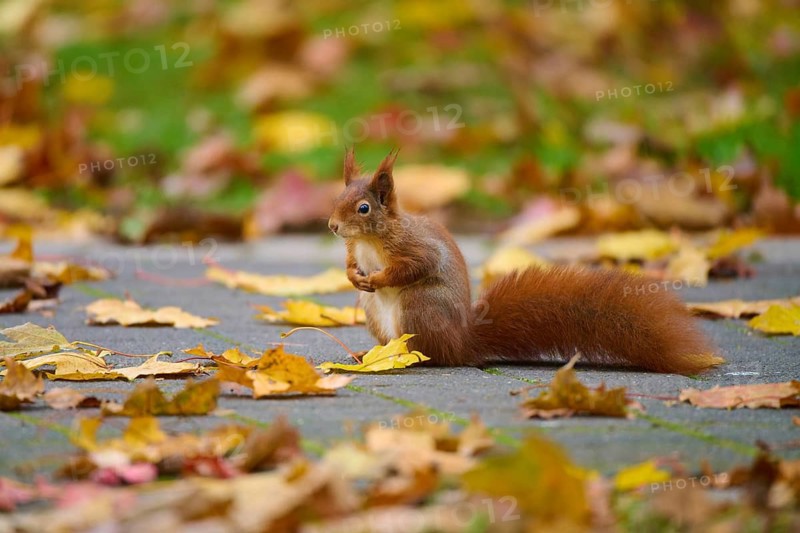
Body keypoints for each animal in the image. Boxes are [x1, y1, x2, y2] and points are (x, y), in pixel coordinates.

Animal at [327, 149, 724, 375]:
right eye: (337, 198)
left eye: (363, 208)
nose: (332, 226)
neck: (367, 242)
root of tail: (463, 342)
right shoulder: (354, 251)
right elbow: (349, 265)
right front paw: (354, 276)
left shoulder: (416, 247)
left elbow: (416, 265)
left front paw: (379, 278)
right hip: (375, 314)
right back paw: (371, 353)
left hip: (420, 306)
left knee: (432, 353)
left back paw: (406, 356)